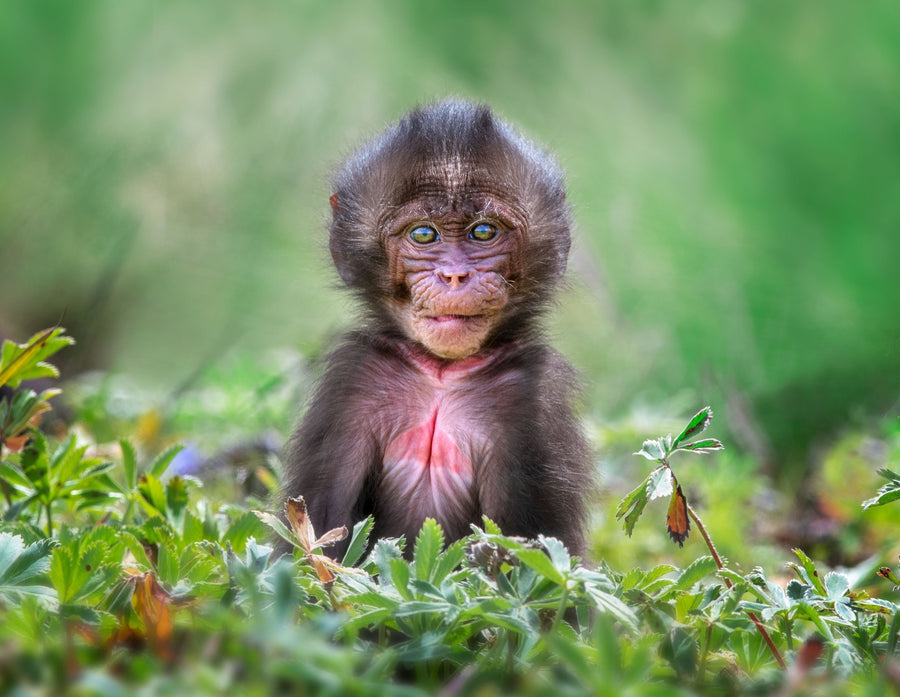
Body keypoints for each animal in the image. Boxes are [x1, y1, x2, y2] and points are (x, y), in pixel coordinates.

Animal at [282, 99, 591, 560]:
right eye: (424, 234)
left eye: (483, 231)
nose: (455, 275)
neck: (442, 373)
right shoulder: (353, 380)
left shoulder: (534, 400)